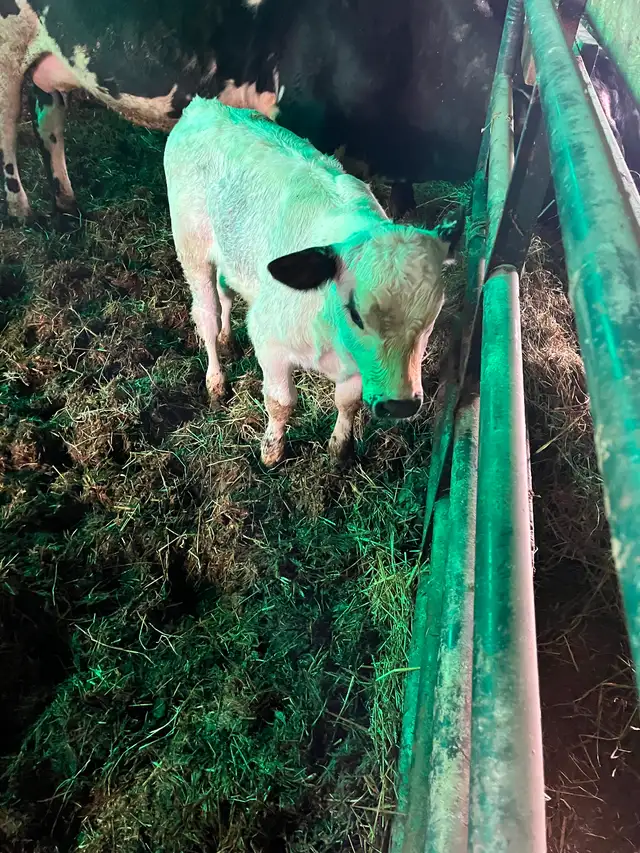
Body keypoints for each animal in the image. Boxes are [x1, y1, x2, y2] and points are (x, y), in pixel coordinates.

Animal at [164, 97, 465, 466]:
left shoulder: (356, 370)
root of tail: (203, 106)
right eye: (355, 313)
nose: (400, 405)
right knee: (207, 314)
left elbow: (347, 402)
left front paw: (340, 449)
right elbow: (281, 401)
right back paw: (216, 380)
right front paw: (271, 452)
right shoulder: (268, 339)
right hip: (192, 249)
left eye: (432, 317)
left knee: (225, 294)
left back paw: (227, 339)